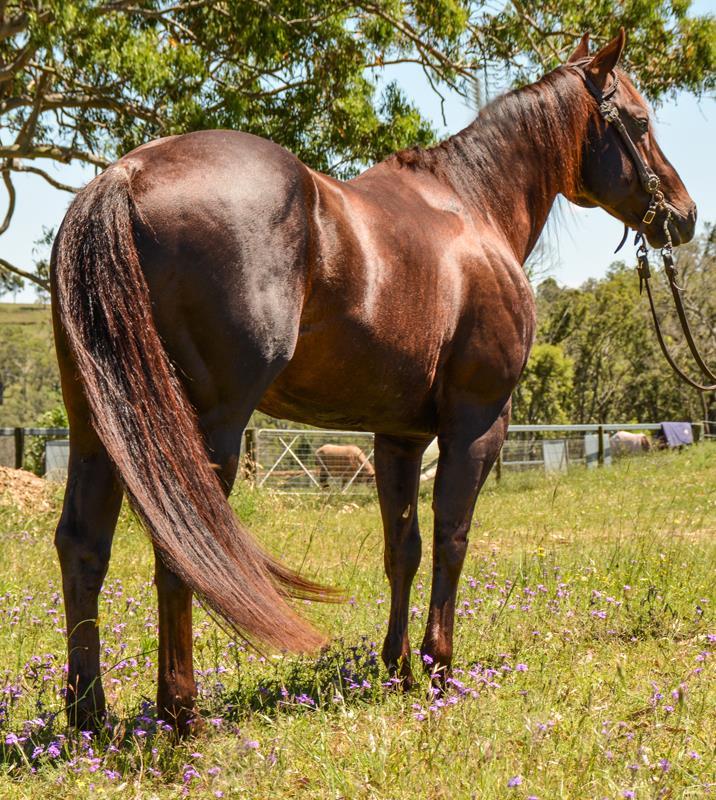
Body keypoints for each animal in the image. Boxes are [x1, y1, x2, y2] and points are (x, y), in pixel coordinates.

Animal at [51, 29, 696, 733]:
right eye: (638, 121)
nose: (685, 215)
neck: (473, 207)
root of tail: (125, 176)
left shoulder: (399, 438)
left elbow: (402, 548)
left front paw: (398, 670)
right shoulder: (477, 424)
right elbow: (451, 538)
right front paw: (439, 669)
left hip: (100, 427)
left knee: (83, 546)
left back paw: (90, 718)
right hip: (197, 432)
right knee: (182, 551)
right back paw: (182, 718)